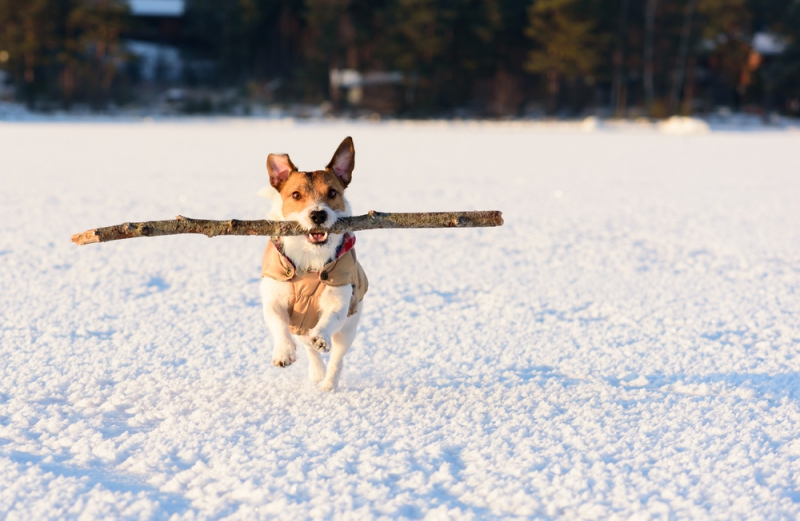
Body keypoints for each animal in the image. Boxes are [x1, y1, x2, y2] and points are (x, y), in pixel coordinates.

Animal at [260, 136, 368, 388]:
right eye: (296, 195)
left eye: (332, 193)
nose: (318, 215)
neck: (310, 261)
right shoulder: (273, 298)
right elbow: (277, 322)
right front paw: (283, 352)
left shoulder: (339, 298)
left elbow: (330, 318)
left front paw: (321, 337)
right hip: (300, 327)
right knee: (308, 348)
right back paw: (316, 372)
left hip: (349, 327)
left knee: (337, 356)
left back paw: (328, 385)